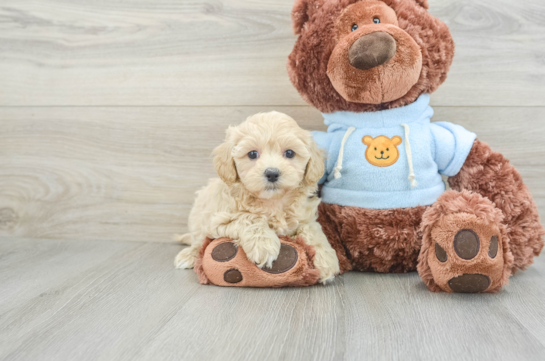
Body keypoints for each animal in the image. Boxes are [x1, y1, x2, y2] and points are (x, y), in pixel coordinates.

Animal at [174, 111, 338, 282]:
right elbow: (248, 218)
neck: (273, 202)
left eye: (289, 153)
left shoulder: (305, 217)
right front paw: (264, 245)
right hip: (198, 217)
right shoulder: (218, 219)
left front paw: (326, 259)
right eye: (252, 154)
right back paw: (188, 255)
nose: (272, 173)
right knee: (198, 241)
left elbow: (312, 229)